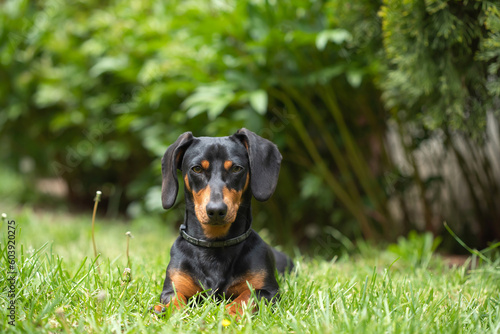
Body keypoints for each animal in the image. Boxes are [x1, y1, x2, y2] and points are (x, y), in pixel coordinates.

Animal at [157, 128, 292, 316]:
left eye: (236, 168)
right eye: (197, 168)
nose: (216, 210)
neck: (215, 246)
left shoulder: (269, 291)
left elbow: (246, 297)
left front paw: (227, 313)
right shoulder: (172, 289)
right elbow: (175, 301)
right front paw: (169, 312)